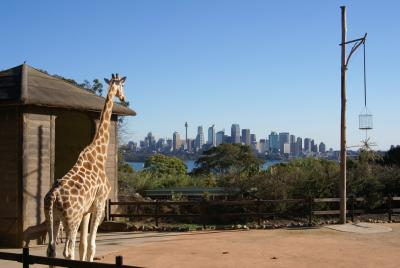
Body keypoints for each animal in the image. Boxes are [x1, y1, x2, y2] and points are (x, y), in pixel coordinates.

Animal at [44, 73, 126, 260]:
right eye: (122, 86)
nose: (124, 98)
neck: (99, 154)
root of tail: (53, 196)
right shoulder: (99, 204)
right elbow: (91, 246)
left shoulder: (86, 210)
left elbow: (83, 245)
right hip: (70, 220)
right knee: (67, 251)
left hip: (53, 219)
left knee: (51, 249)